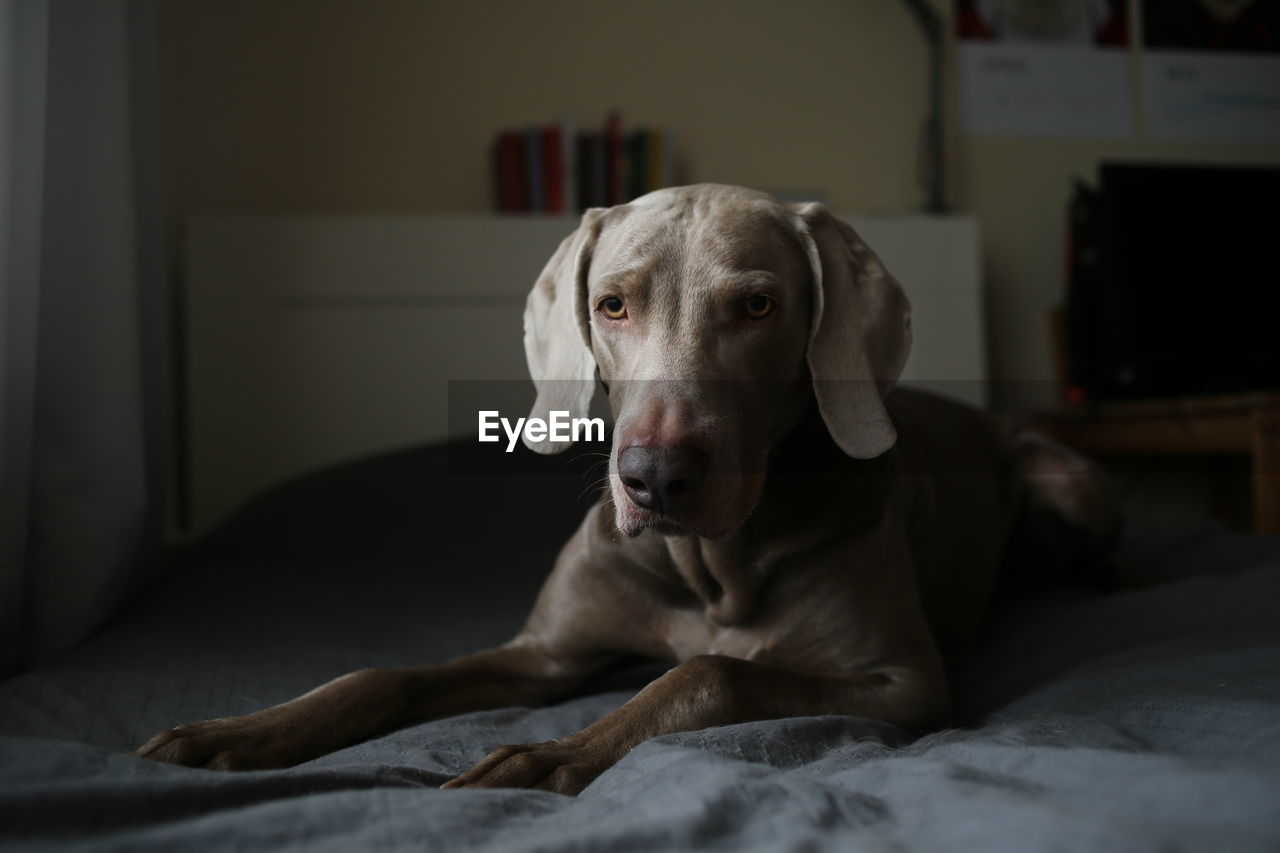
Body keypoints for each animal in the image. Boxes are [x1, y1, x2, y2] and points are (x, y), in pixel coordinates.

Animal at [140, 183, 1116, 794]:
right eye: (612, 304)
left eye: (757, 305)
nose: (654, 479)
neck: (707, 565)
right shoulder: (544, 654)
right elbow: (380, 673)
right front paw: (236, 732)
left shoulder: (903, 682)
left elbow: (708, 670)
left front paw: (543, 755)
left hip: (1066, 478)